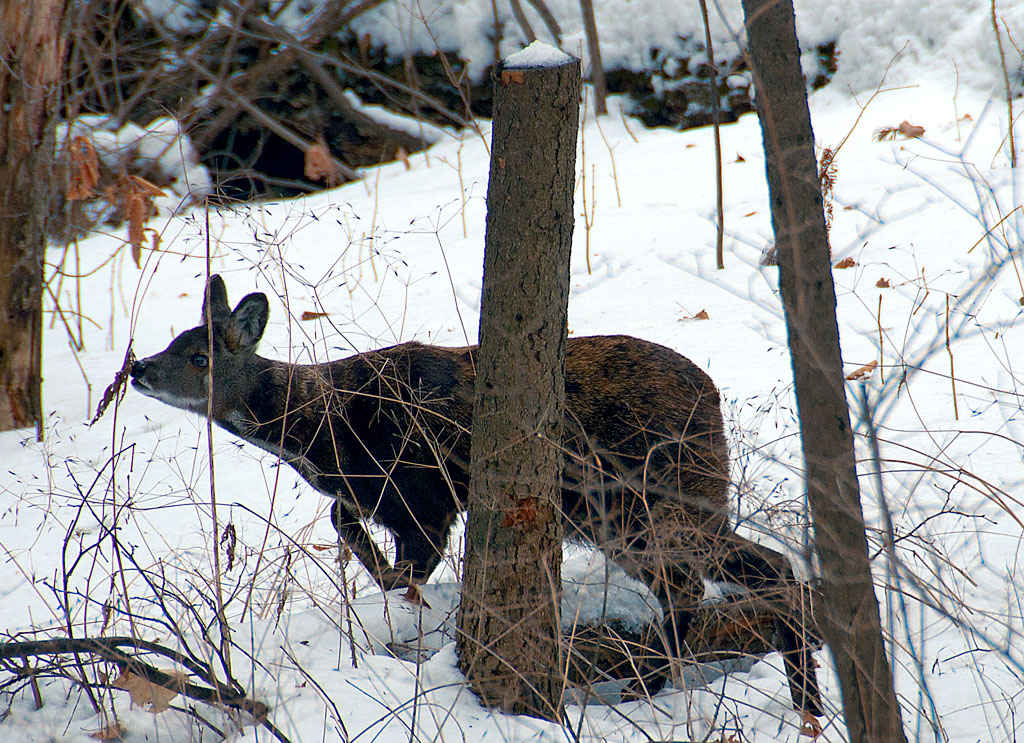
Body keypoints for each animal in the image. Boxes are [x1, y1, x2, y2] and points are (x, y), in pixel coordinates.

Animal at [130, 274, 823, 720]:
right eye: (173, 341)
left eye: (199, 356)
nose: (138, 367)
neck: (322, 432)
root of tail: (713, 399)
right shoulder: (375, 497)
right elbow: (345, 524)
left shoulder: (426, 497)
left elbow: (409, 568)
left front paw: (403, 614)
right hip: (632, 513)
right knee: (716, 580)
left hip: (653, 499)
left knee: (741, 574)